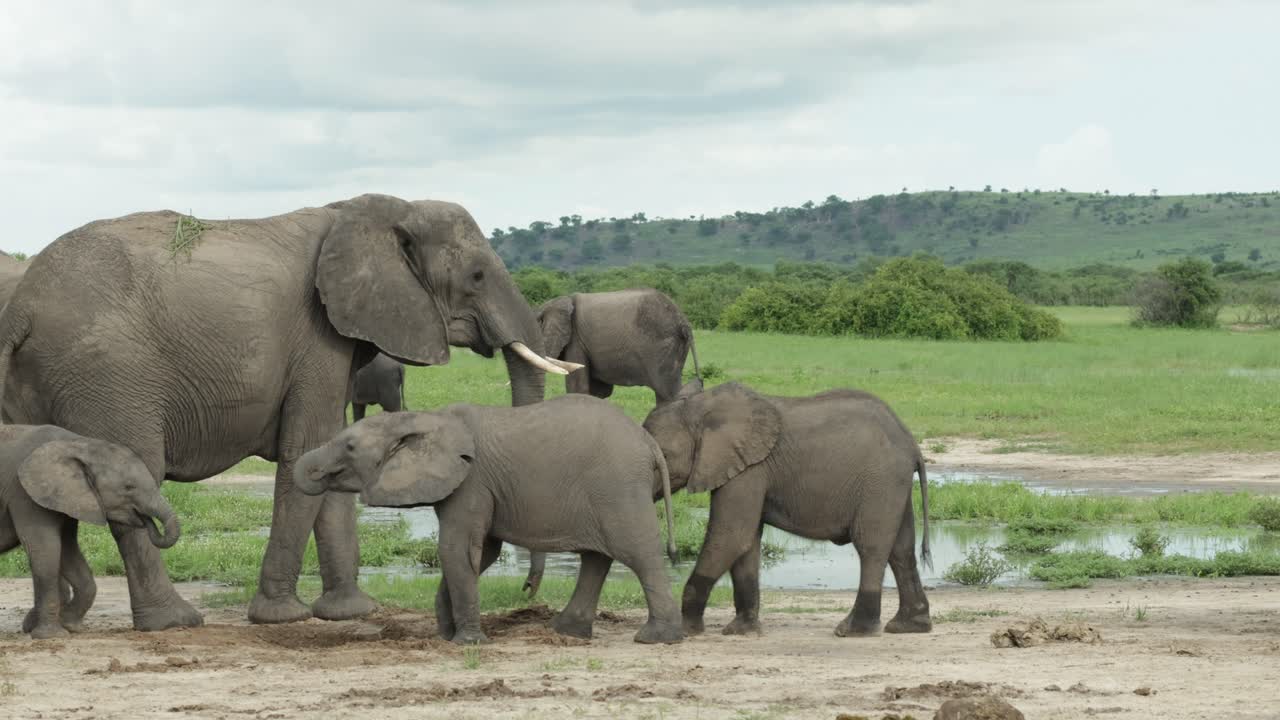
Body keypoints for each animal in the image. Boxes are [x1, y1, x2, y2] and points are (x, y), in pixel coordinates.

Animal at [0, 425, 180, 639]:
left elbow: (68, 551)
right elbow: (46, 550)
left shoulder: (66, 498)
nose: (147, 520)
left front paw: (70, 625)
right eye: (129, 487)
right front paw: (52, 635)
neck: (79, 444)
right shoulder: (25, 494)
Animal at [294, 394, 685, 646]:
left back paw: (656, 639)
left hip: (618, 486)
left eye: (349, 447)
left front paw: (466, 643)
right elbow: (480, 553)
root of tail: (649, 442)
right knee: (597, 558)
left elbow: (457, 549)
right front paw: (446, 635)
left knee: (637, 552)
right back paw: (564, 632)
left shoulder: (472, 480)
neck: (421, 418)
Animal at [536, 289, 701, 405]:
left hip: (662, 346)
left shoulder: (575, 340)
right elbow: (599, 393)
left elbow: (577, 388)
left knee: (667, 392)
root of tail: (683, 321)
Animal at [641, 380, 933, 638]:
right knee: (902, 550)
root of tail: (913, 446)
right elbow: (746, 542)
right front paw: (743, 631)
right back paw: (908, 626)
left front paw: (686, 630)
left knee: (871, 547)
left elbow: (731, 536)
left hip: (879, 481)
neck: (700, 407)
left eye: (663, 457)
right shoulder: (747, 467)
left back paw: (852, 631)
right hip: (893, 485)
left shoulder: (750, 470)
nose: (673, 555)